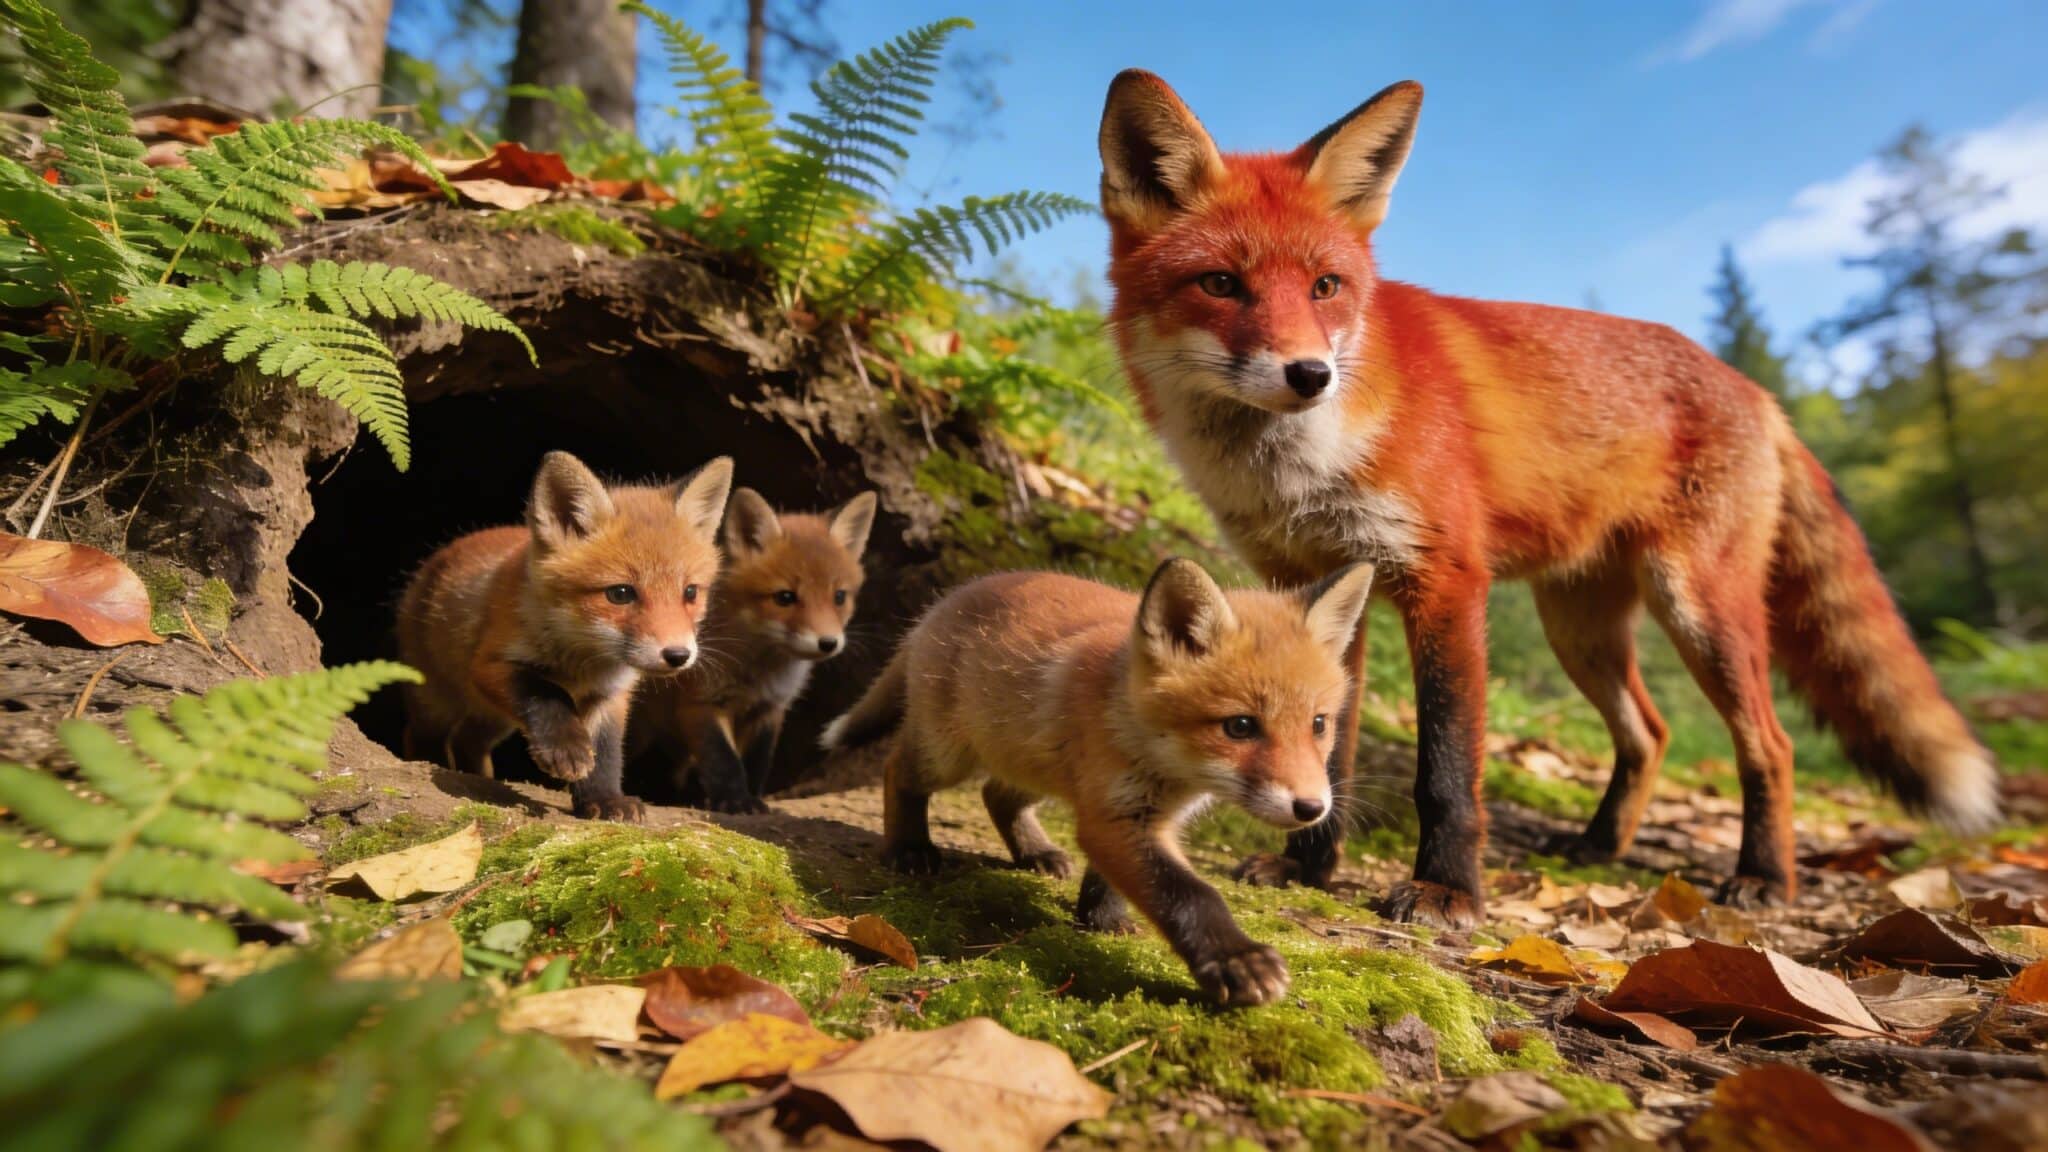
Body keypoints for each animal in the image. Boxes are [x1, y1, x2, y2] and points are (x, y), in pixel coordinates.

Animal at [395, 451, 734, 821]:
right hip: (437, 702)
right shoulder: (490, 664)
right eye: (620, 594)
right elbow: (545, 691)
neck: (583, 661)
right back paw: (431, 761)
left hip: (493, 719)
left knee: (470, 741)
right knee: (423, 734)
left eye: (690, 592)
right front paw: (566, 748)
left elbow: (606, 752)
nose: (678, 655)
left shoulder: (611, 695)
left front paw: (605, 799)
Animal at [633, 487, 878, 814]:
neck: (757, 674)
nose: (828, 642)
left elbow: (756, 763)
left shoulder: (770, 708)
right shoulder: (701, 702)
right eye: (785, 597)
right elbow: (724, 760)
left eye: (839, 597)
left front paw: (754, 798)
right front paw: (736, 801)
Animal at [823, 556, 1376, 1005]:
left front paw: (1101, 919)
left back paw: (1035, 852)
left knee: (996, 794)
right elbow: (1191, 894)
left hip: (1036, 764)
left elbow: (1111, 878)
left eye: (1319, 724)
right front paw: (1235, 959)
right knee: (899, 770)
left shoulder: (1135, 813)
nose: (1312, 809)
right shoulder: (1116, 813)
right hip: (948, 753)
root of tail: (947, 600)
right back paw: (911, 848)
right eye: (1240, 726)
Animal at [1096, 71, 1999, 926]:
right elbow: (1327, 750)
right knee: (1650, 732)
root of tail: (1754, 388)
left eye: (1326, 286)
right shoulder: (1313, 590)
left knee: (1770, 746)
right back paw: (1601, 846)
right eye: (1220, 283)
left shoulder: (1445, 581)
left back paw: (1764, 878)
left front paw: (1447, 893)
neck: (1299, 470)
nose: (1310, 374)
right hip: (1581, 629)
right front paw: (1306, 867)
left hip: (1702, 611)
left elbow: (1446, 770)